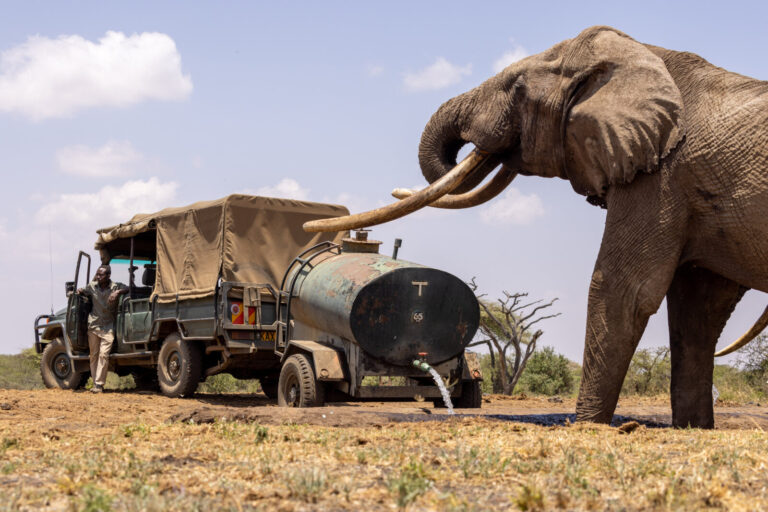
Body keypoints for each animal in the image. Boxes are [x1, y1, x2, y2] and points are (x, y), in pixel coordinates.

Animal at [304, 26, 768, 429]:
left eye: (517, 89)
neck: (646, 54)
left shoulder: (660, 176)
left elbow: (625, 288)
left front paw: (586, 425)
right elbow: (697, 310)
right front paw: (694, 428)